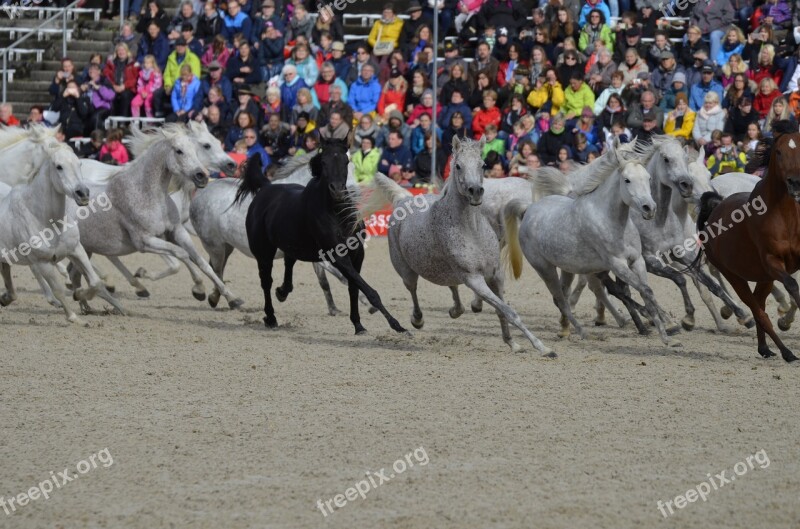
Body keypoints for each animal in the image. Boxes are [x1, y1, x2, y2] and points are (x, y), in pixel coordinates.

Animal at [0, 134, 122, 320]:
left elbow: (94, 282)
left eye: (79, 164)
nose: (83, 194)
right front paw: (74, 316)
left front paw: (79, 295)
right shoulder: (43, 262)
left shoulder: (76, 249)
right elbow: (59, 289)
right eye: (59, 166)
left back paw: (7, 298)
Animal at [233, 138, 406, 332]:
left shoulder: (357, 254)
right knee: (266, 281)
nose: (338, 190)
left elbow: (354, 287)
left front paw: (358, 325)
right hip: (264, 252)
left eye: (346, 161)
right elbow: (368, 291)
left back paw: (282, 292)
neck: (336, 212)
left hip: (293, 245)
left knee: (288, 264)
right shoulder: (338, 256)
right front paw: (396, 325)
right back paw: (270, 318)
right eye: (324, 162)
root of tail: (266, 189)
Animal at [366, 137, 552, 354]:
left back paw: (456, 310)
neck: (472, 231)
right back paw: (418, 320)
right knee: (413, 290)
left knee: (452, 286)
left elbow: (501, 310)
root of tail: (405, 199)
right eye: (458, 166)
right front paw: (543, 348)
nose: (476, 192)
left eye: (483, 165)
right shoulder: (474, 279)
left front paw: (513, 343)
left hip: (446, 270)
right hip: (406, 271)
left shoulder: (495, 275)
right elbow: (508, 311)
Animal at [692, 120, 800, 360]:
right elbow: (792, 285)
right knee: (757, 310)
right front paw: (785, 321)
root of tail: (715, 206)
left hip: (763, 276)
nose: (795, 182)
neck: (784, 215)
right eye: (778, 152)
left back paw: (765, 348)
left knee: (759, 303)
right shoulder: (772, 261)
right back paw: (786, 352)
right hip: (735, 275)